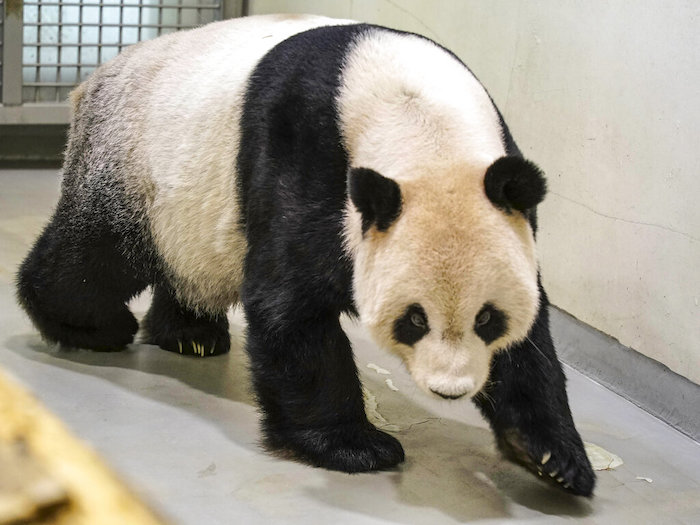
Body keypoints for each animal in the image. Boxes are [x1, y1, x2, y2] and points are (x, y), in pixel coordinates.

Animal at [16, 13, 592, 496]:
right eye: (414, 319)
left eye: (488, 319)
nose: (450, 390)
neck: (420, 121)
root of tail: (94, 77)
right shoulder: (305, 154)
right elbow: (290, 305)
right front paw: (356, 446)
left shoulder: (506, 208)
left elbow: (533, 336)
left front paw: (552, 457)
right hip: (132, 162)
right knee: (98, 255)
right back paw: (93, 327)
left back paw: (191, 335)